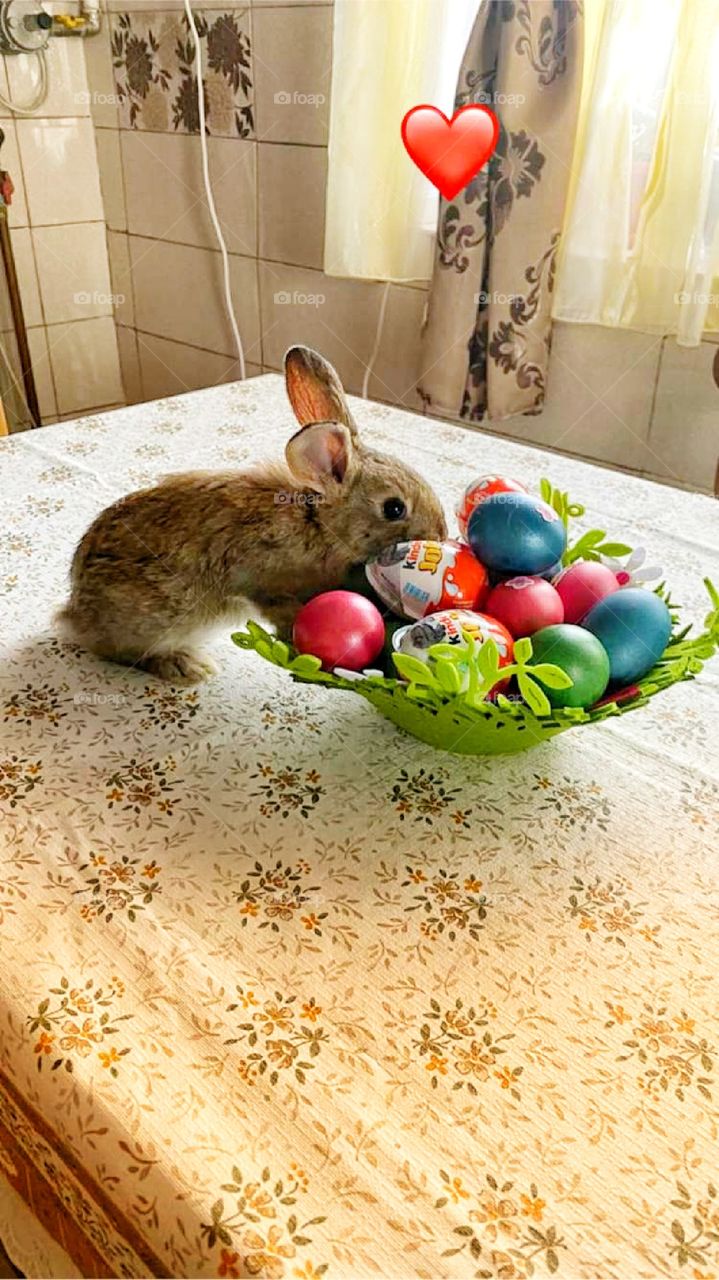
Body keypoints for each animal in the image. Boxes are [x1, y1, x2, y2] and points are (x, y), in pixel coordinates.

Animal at [58, 345, 448, 685]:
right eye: (394, 508)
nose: (440, 537)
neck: (320, 525)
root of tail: (74, 616)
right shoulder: (261, 580)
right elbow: (279, 609)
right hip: (152, 619)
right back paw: (186, 665)